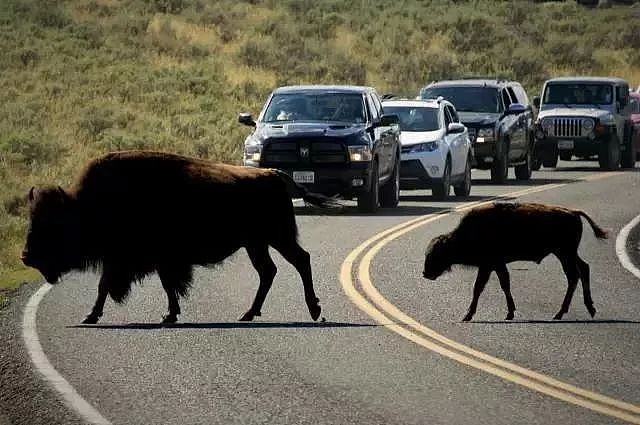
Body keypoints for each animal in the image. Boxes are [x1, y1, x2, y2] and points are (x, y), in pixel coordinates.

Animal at [21, 151, 338, 322]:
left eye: (53, 226)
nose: (25, 256)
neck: (89, 205)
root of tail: (273, 173)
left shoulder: (130, 259)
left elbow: (108, 286)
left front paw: (91, 316)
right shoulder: (149, 261)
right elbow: (160, 286)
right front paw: (170, 314)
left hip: (276, 238)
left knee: (300, 261)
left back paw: (314, 310)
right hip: (256, 244)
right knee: (269, 271)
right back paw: (249, 314)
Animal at [422, 202, 608, 322]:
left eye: (436, 254)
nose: (425, 273)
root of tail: (574, 212)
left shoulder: (489, 265)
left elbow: (479, 288)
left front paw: (467, 315)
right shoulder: (496, 265)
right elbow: (504, 284)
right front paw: (510, 313)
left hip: (565, 253)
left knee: (574, 275)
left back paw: (561, 313)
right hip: (566, 254)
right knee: (582, 269)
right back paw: (587, 310)